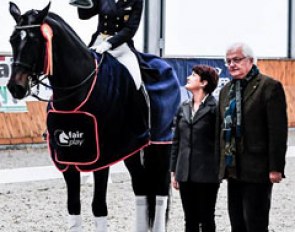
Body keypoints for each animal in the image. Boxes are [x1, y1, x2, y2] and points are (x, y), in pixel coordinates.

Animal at [6, 2, 182, 232]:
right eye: (12, 39)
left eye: (36, 41)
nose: (15, 87)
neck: (77, 90)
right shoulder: (68, 158)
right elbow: (73, 206)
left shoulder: (101, 158)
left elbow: (99, 207)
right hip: (132, 148)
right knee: (141, 186)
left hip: (161, 144)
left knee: (160, 191)